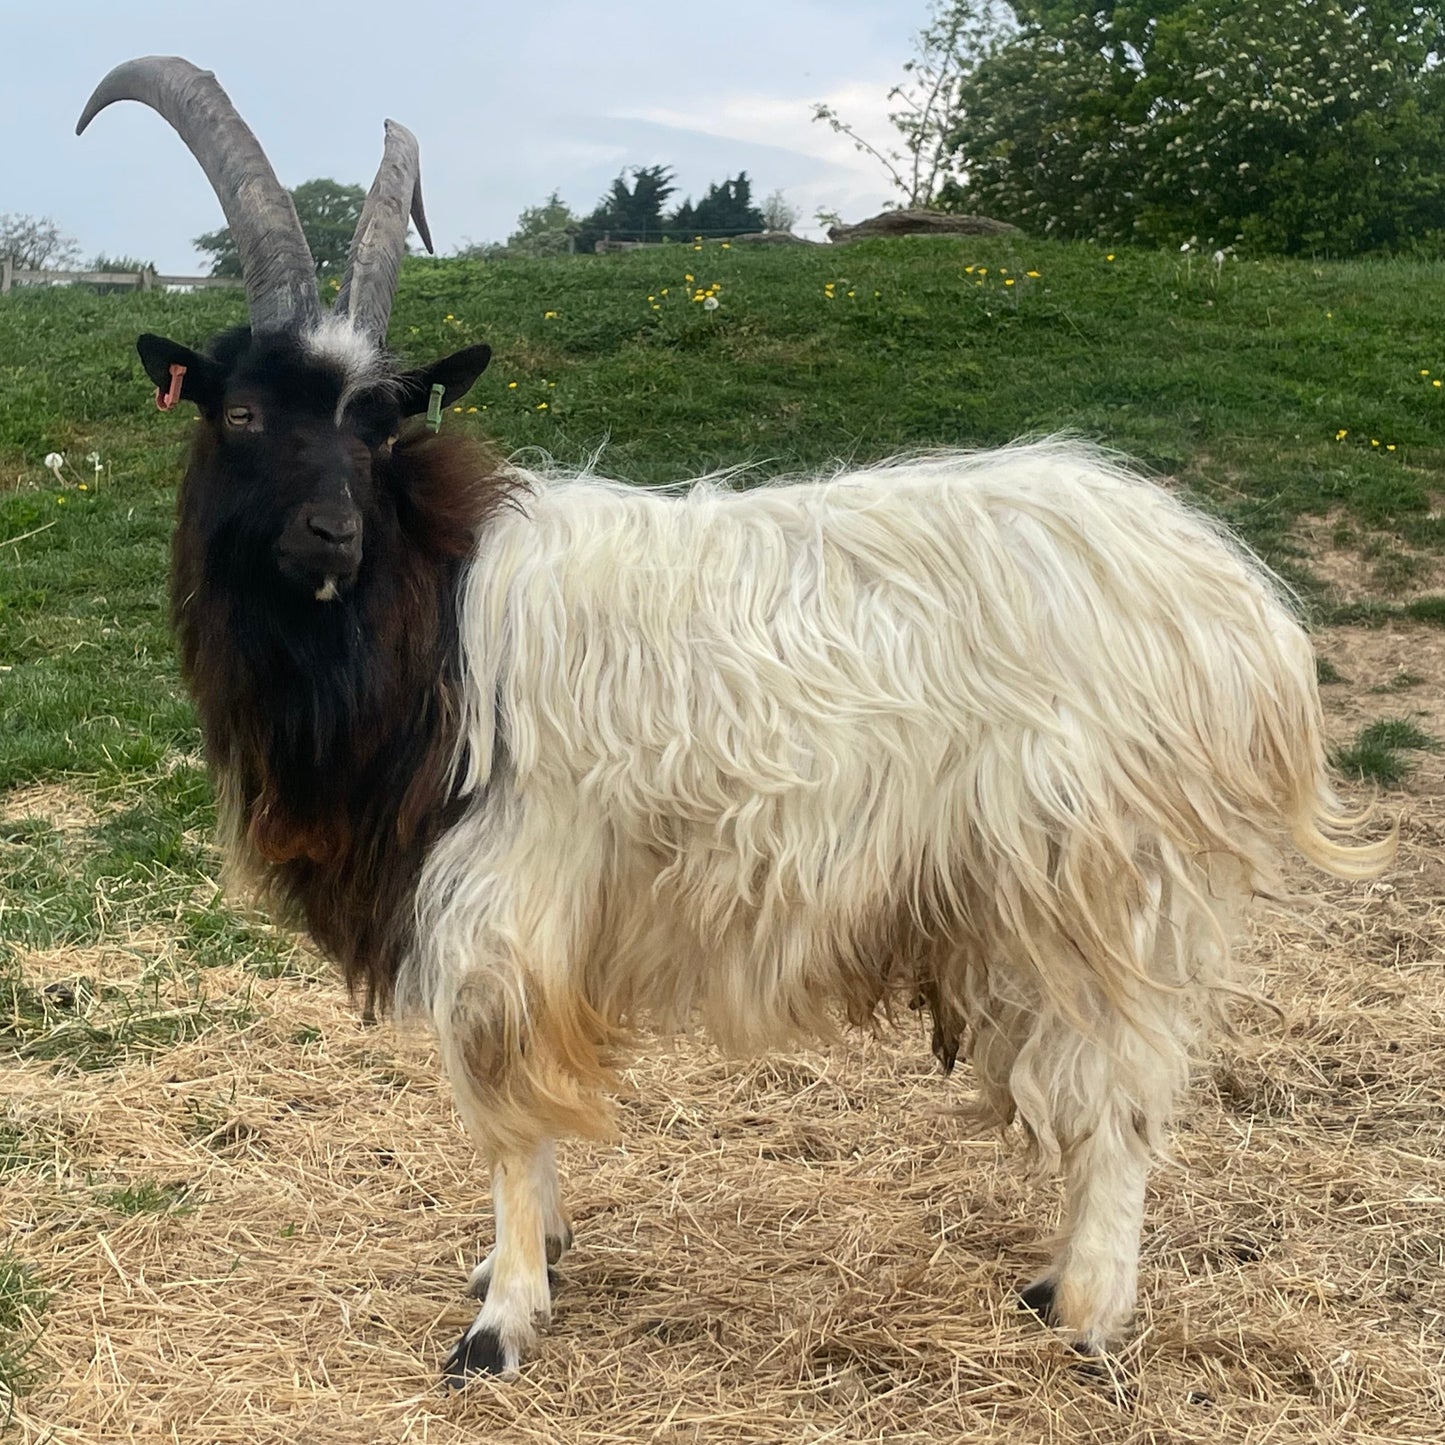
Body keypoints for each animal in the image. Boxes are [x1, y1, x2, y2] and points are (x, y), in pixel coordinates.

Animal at [80, 56, 1393, 1387]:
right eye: (241, 413)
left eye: (378, 422)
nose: (331, 535)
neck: (427, 610)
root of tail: (1241, 620)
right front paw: (524, 1261)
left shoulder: (500, 895)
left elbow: (504, 1109)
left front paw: (501, 1318)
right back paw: (1053, 1287)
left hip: (1093, 882)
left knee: (1120, 1089)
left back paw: (1085, 1312)